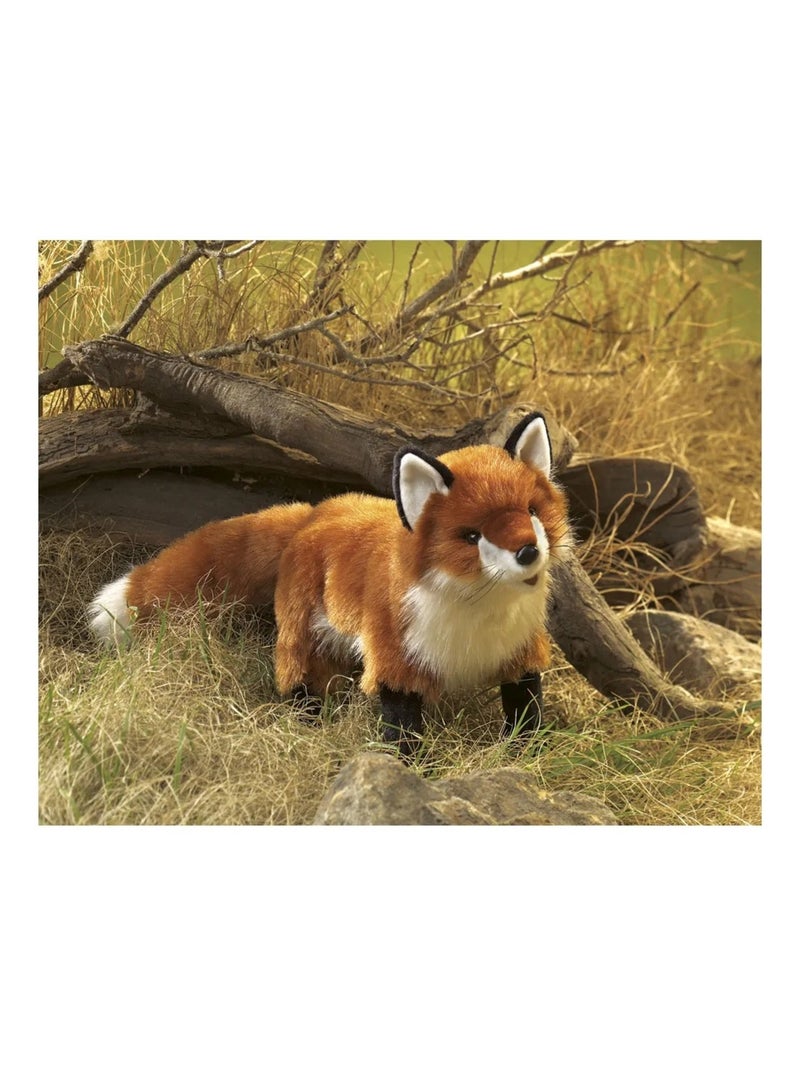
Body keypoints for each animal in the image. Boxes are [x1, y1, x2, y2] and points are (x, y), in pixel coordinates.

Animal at [88, 412, 571, 752]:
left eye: (531, 511)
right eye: (472, 536)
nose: (528, 552)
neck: (479, 622)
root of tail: (315, 510)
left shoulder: (521, 654)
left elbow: (526, 712)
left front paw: (528, 756)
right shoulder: (396, 659)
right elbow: (403, 730)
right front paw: (417, 771)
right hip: (302, 638)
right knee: (297, 682)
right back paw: (307, 722)